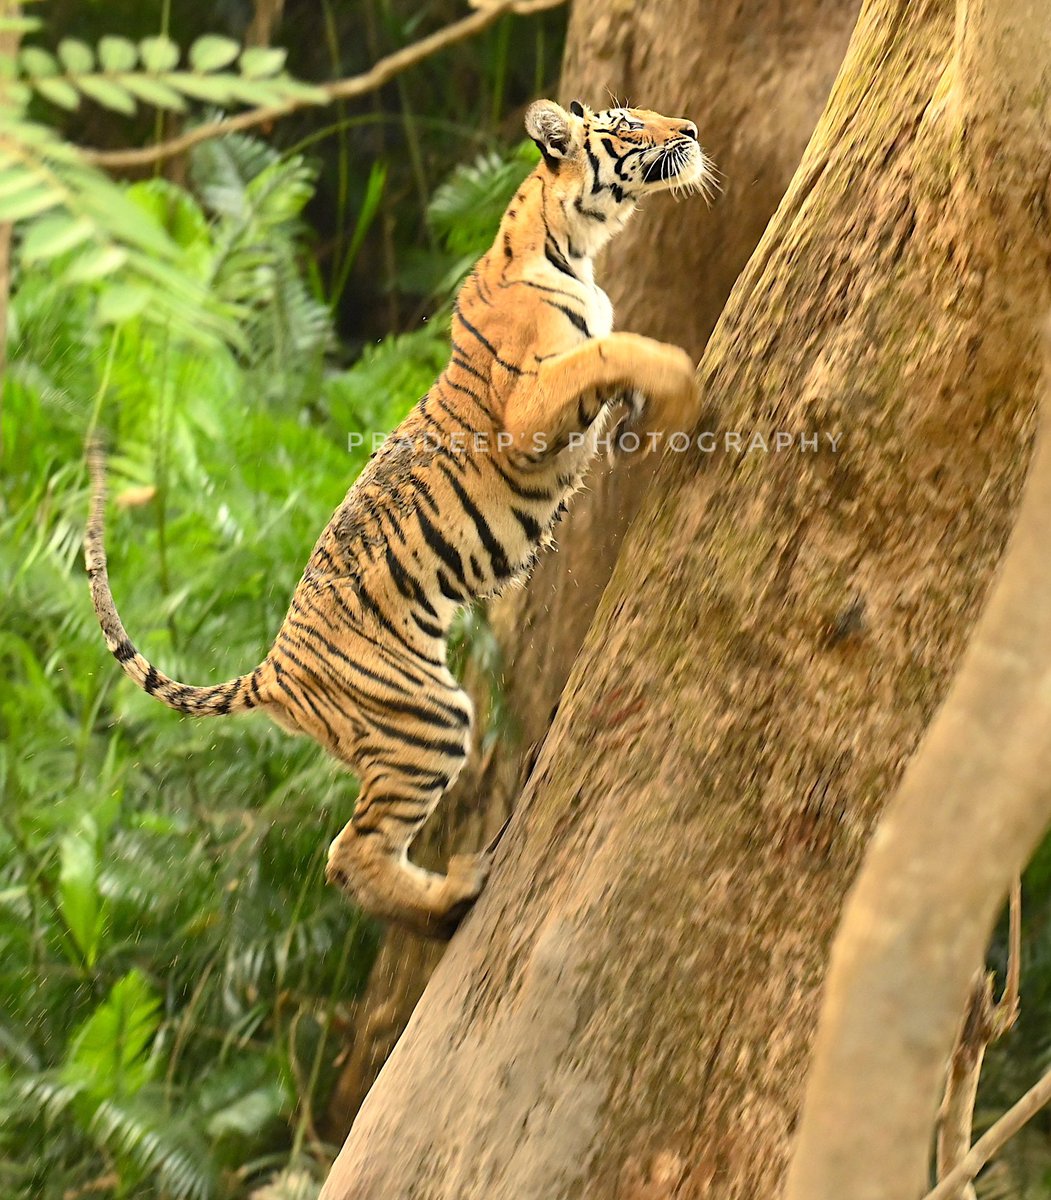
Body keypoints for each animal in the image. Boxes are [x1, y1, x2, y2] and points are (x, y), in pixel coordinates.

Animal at [86, 98, 710, 936]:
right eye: (628, 127)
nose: (693, 131)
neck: (575, 245)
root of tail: (273, 668)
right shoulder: (529, 406)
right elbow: (616, 348)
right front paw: (679, 383)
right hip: (426, 717)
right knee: (349, 853)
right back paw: (457, 892)